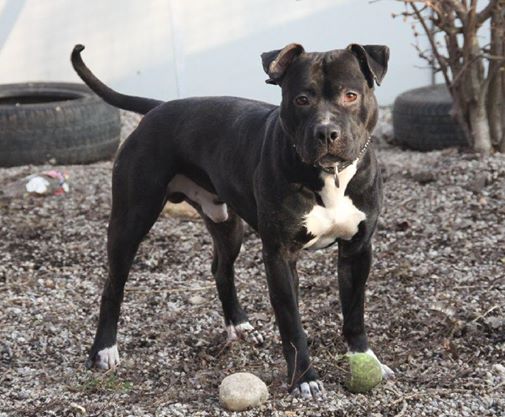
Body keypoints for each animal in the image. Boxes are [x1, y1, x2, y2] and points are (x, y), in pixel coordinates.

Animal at [72, 42, 393, 399]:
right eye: (301, 99)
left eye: (351, 95)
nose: (326, 132)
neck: (330, 177)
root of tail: (160, 107)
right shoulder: (280, 257)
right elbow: (292, 324)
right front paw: (304, 378)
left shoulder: (357, 250)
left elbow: (354, 312)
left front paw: (366, 359)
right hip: (130, 220)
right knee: (113, 284)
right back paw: (104, 349)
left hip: (226, 224)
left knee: (221, 269)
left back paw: (238, 325)